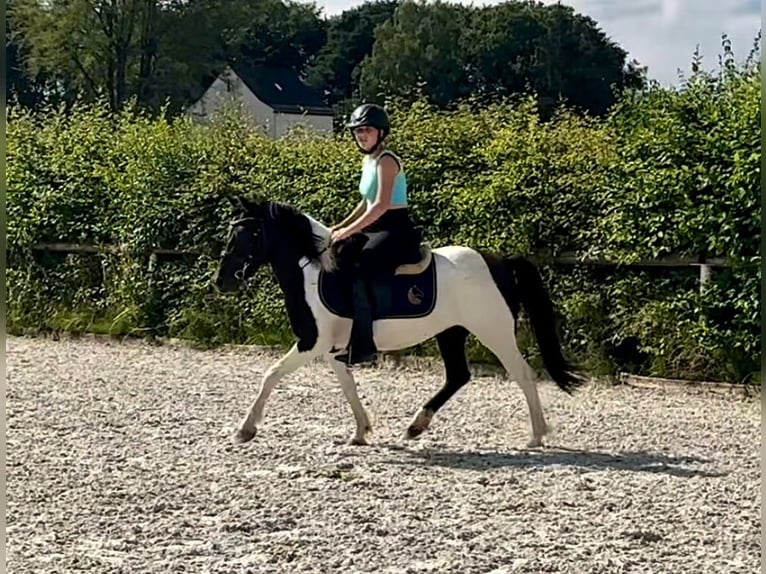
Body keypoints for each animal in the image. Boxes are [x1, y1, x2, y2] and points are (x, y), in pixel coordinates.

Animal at [216, 198, 588, 450]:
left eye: (248, 234)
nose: (222, 282)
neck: (313, 271)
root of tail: (499, 260)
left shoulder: (312, 342)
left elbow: (271, 375)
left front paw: (245, 429)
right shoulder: (333, 349)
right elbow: (348, 388)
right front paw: (360, 432)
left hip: (493, 331)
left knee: (523, 374)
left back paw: (537, 436)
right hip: (451, 331)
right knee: (458, 375)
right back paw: (415, 426)